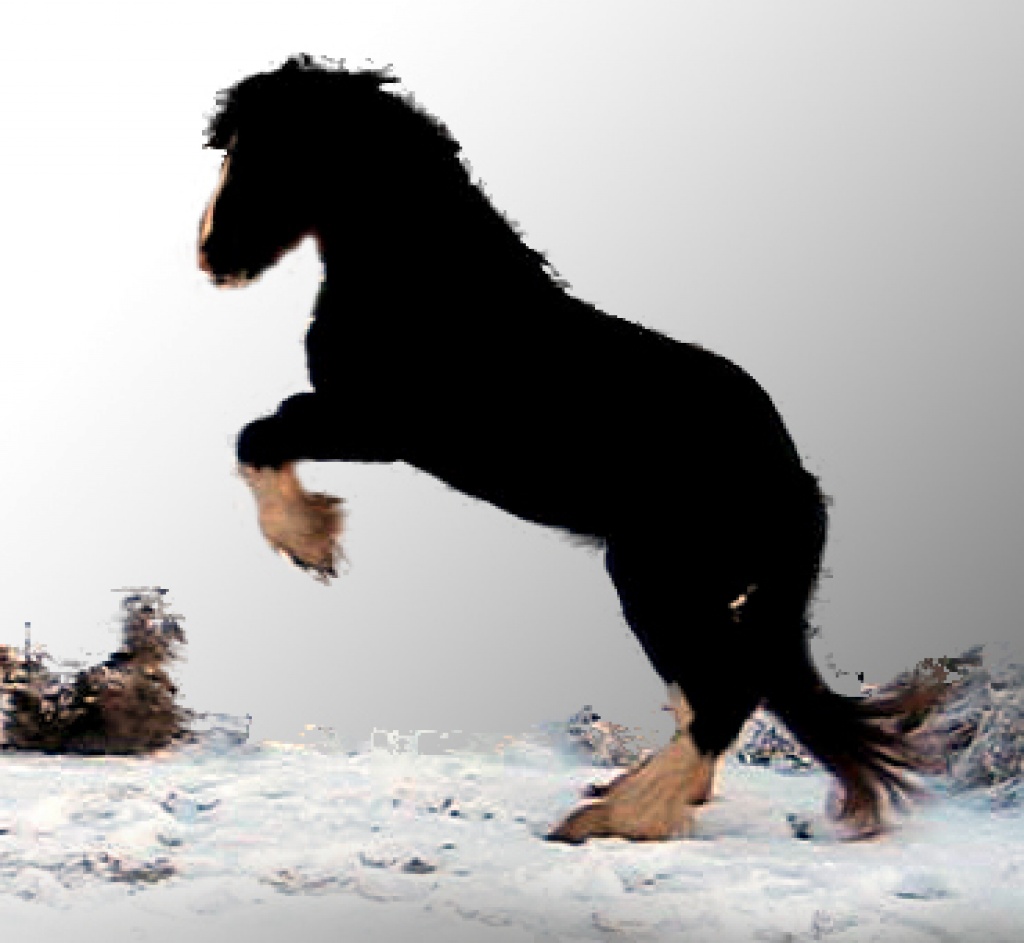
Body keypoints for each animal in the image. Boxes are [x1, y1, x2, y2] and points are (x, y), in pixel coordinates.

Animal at [197, 55, 943, 842]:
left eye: (267, 152)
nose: (214, 256)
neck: (431, 282)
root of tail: (793, 479)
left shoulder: (376, 426)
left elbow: (257, 435)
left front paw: (309, 542)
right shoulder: (355, 421)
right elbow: (265, 430)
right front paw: (315, 537)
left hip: (655, 578)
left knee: (722, 697)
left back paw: (611, 818)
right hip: (698, 591)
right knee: (712, 693)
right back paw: (642, 796)